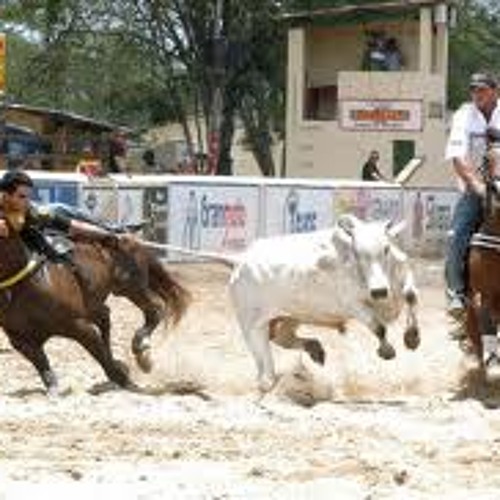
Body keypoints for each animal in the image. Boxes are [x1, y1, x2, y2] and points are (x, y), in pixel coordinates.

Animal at [0, 226, 189, 394]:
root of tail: (128, 239)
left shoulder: (79, 326)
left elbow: (99, 354)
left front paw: (124, 380)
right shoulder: (21, 341)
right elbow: (43, 365)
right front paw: (53, 390)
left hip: (131, 288)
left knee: (154, 310)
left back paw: (141, 350)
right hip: (99, 302)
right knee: (106, 316)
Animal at [229, 213, 420, 392]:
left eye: (386, 248)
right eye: (357, 253)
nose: (379, 291)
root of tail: (240, 261)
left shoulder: (404, 274)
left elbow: (411, 295)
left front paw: (412, 337)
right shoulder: (353, 305)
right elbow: (378, 327)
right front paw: (387, 350)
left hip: (291, 317)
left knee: (282, 338)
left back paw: (316, 350)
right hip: (253, 327)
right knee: (266, 371)